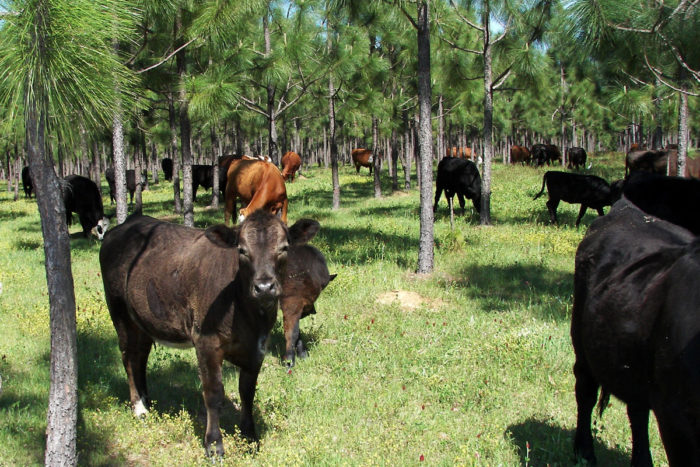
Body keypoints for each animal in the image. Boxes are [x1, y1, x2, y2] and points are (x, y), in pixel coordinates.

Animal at [99, 211, 322, 458]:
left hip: (143, 321)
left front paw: (250, 437)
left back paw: (148, 401)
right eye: (241, 250)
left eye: (284, 247)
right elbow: (213, 394)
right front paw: (214, 445)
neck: (248, 314)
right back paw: (139, 409)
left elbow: (247, 392)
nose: (264, 287)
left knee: (140, 357)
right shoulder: (206, 341)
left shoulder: (258, 347)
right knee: (129, 358)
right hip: (120, 312)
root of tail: (126, 224)